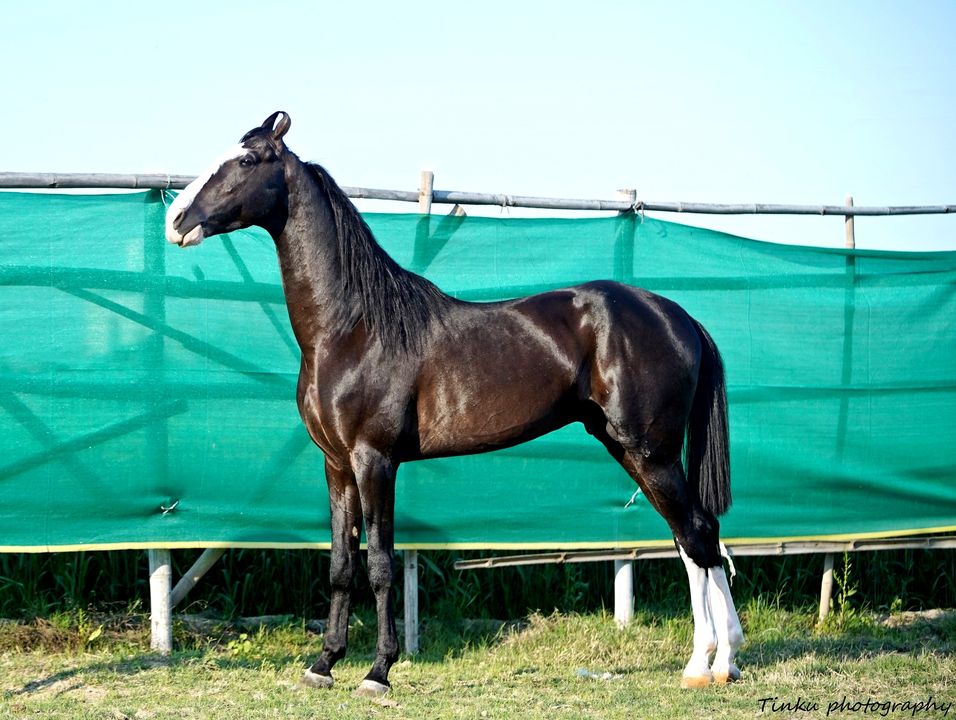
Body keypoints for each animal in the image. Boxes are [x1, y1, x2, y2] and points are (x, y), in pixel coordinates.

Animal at [165, 112, 743, 696]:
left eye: (247, 159)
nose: (175, 219)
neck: (352, 328)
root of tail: (678, 317)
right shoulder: (336, 464)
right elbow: (340, 566)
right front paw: (324, 664)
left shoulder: (375, 461)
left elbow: (380, 565)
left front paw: (378, 672)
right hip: (630, 449)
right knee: (692, 538)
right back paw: (718, 662)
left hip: (651, 451)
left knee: (698, 535)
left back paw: (710, 664)